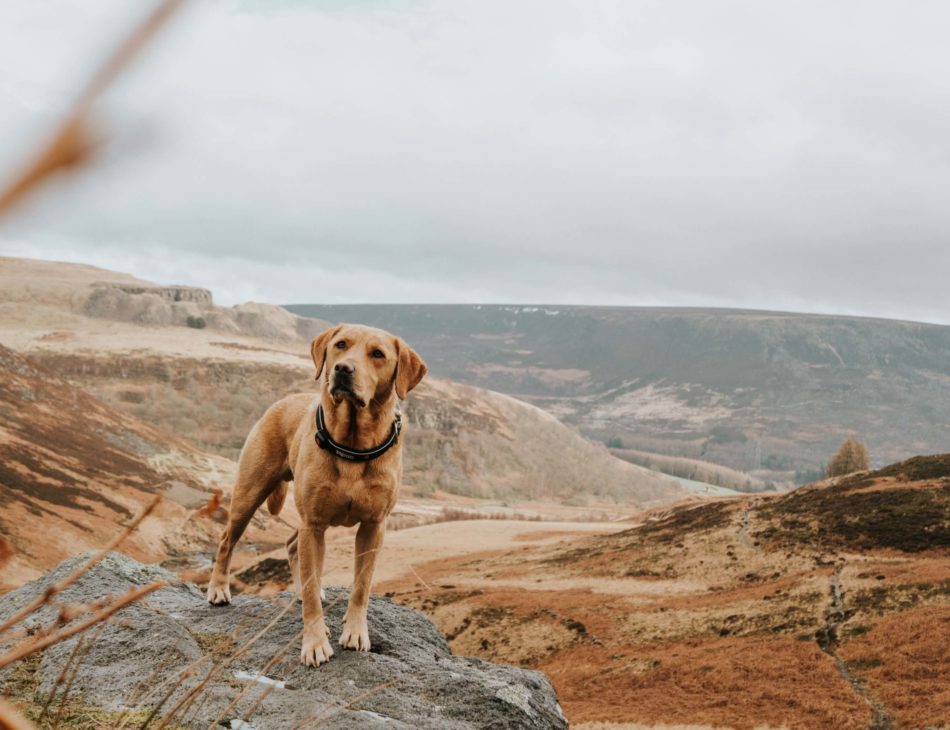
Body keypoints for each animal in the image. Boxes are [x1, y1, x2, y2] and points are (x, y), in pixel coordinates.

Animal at [212, 324, 432, 664]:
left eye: (377, 354)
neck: (353, 445)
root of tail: (280, 403)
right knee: (227, 540)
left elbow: (361, 586)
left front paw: (355, 631)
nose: (343, 369)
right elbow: (313, 590)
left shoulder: (373, 526)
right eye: (340, 345)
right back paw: (219, 589)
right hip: (250, 493)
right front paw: (314, 643)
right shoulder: (314, 523)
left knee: (292, 545)